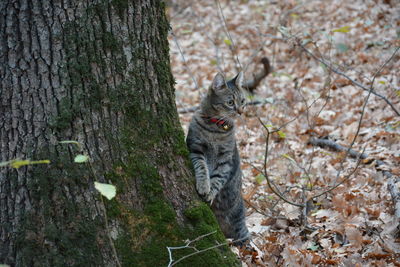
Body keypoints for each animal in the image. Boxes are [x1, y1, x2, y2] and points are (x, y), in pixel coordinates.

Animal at [186, 71, 248, 247]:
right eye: (230, 102)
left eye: (243, 101)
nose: (240, 111)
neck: (216, 128)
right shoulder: (196, 148)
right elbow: (202, 168)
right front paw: (204, 185)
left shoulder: (226, 159)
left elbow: (219, 178)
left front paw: (210, 192)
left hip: (239, 225)